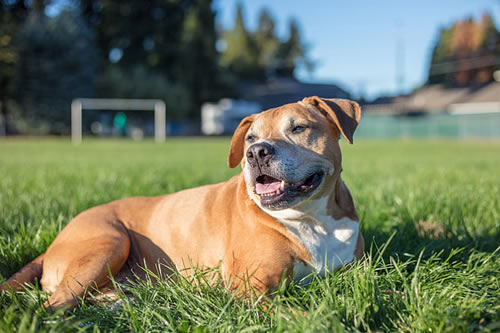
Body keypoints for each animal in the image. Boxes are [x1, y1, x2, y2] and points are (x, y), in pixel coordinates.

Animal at [0, 96, 364, 308]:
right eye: (250, 137)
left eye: (299, 128)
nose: (255, 152)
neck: (310, 219)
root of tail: (55, 241)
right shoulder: (253, 287)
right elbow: (288, 312)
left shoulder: (358, 270)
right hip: (109, 241)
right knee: (54, 306)